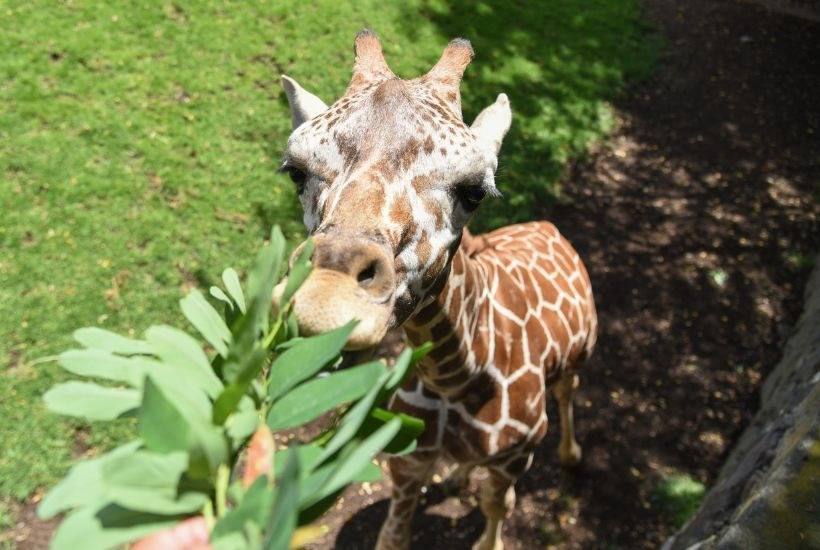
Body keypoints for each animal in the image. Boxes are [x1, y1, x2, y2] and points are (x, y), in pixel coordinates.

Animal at [275, 30, 597, 550]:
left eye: (474, 191)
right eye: (296, 171)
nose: (325, 298)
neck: (455, 378)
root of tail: (548, 227)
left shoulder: (514, 457)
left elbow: (497, 505)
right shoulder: (407, 462)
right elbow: (394, 535)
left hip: (578, 356)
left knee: (570, 389)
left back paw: (571, 455)